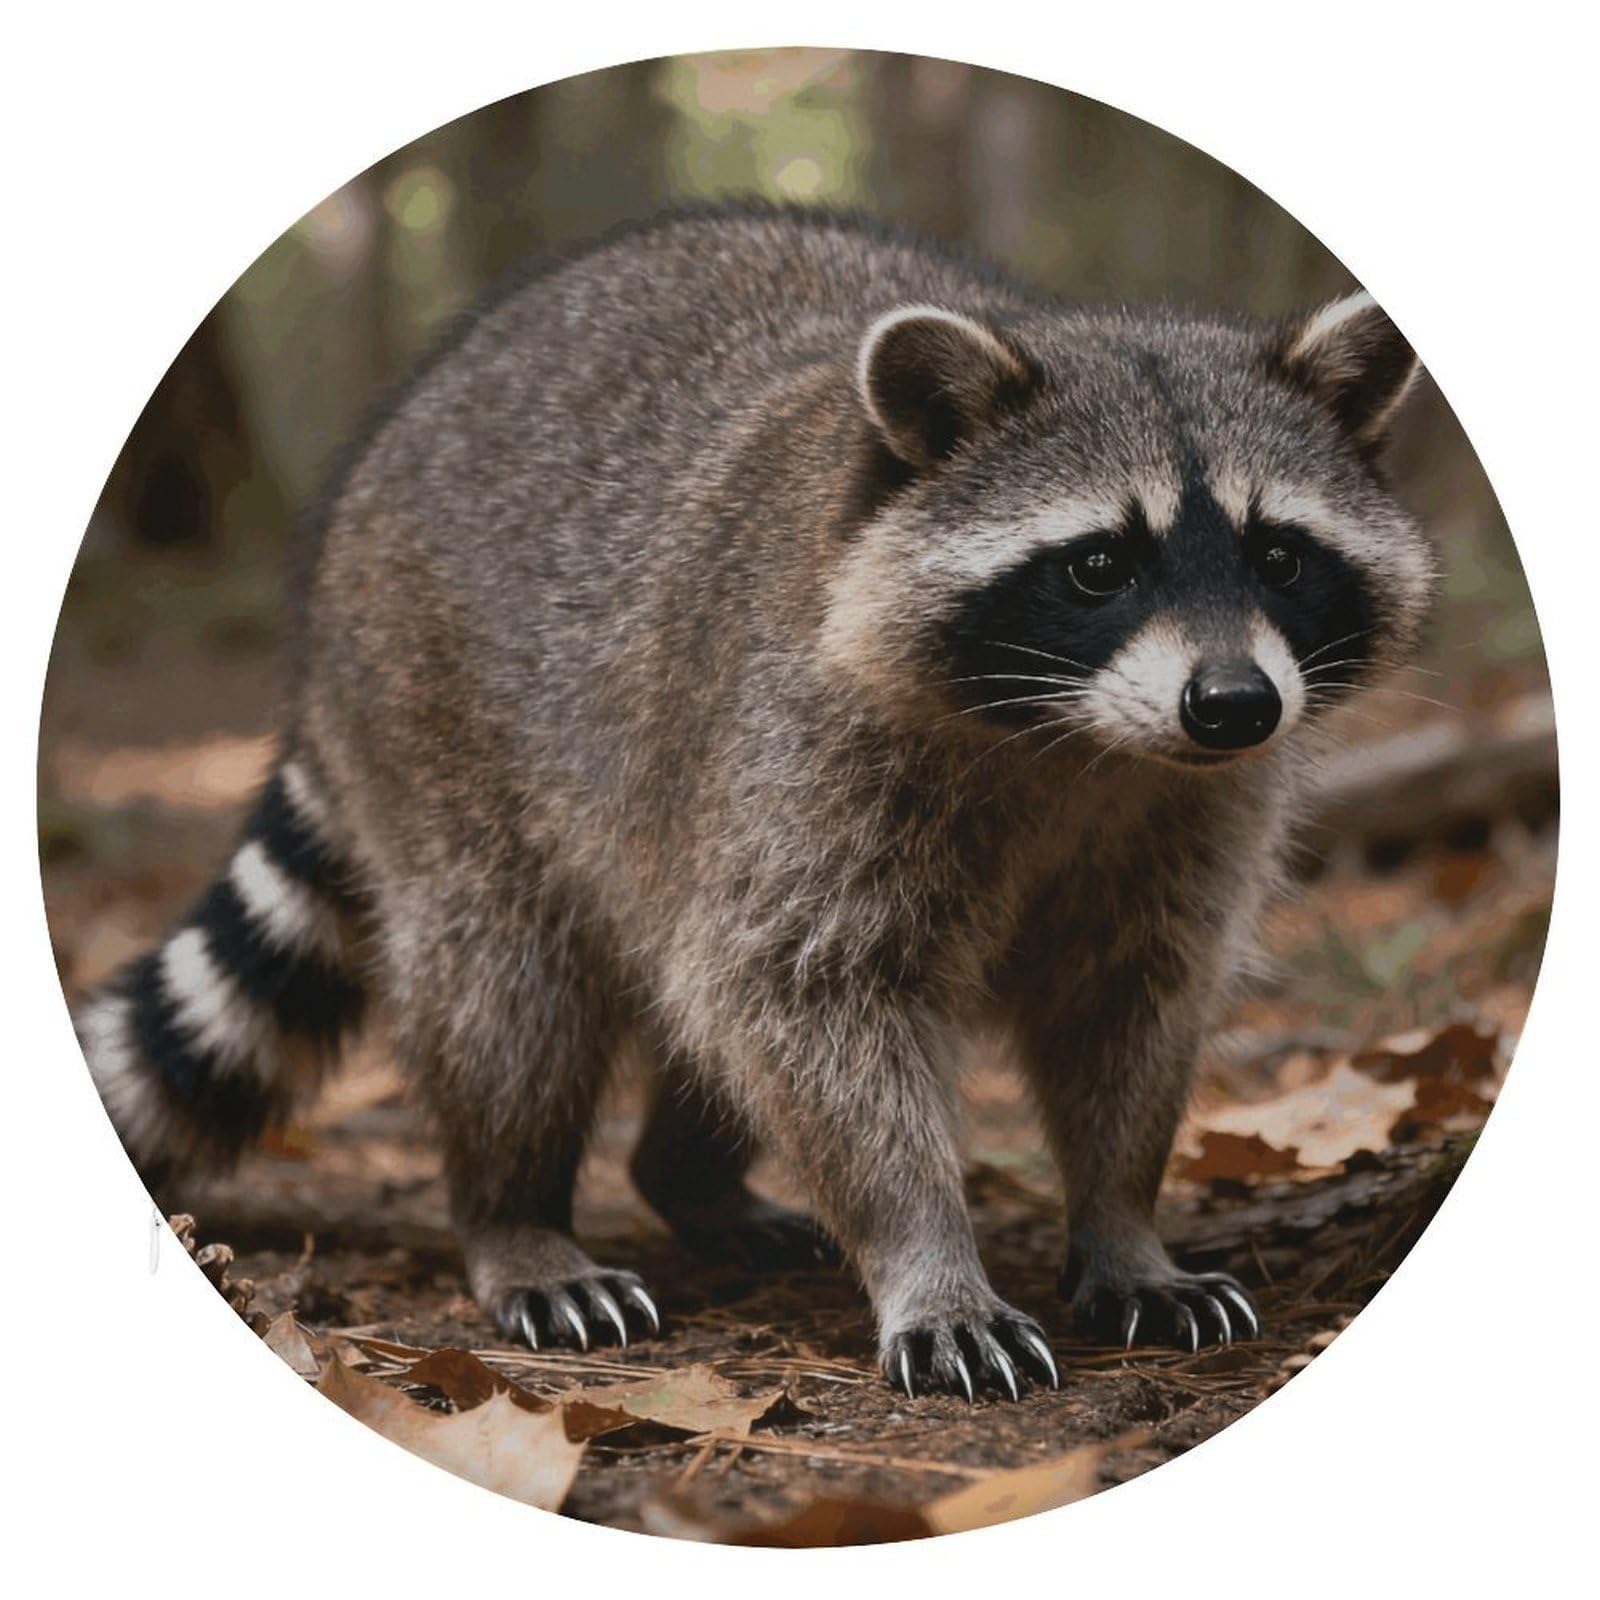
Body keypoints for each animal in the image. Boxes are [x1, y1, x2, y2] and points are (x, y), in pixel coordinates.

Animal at [72, 205, 1434, 1400]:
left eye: (1279, 556)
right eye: (1099, 565)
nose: (1234, 704)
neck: (1082, 743)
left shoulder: (1183, 810)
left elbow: (1125, 1002)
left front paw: (1121, 1220)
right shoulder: (804, 737)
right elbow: (809, 994)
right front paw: (925, 1251)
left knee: (690, 993)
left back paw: (685, 1174)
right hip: (430, 710)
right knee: (513, 990)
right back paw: (511, 1211)